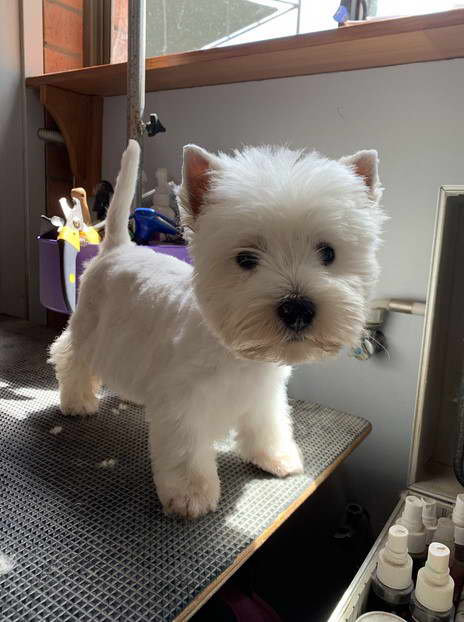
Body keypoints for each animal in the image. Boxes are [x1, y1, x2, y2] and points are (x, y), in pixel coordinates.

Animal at [49, 139, 384, 520]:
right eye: (246, 259)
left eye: (328, 252)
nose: (297, 308)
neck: (238, 352)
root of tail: (117, 248)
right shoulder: (183, 404)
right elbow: (186, 452)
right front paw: (191, 495)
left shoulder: (265, 391)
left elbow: (269, 425)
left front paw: (276, 457)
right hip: (89, 328)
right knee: (68, 355)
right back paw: (77, 401)